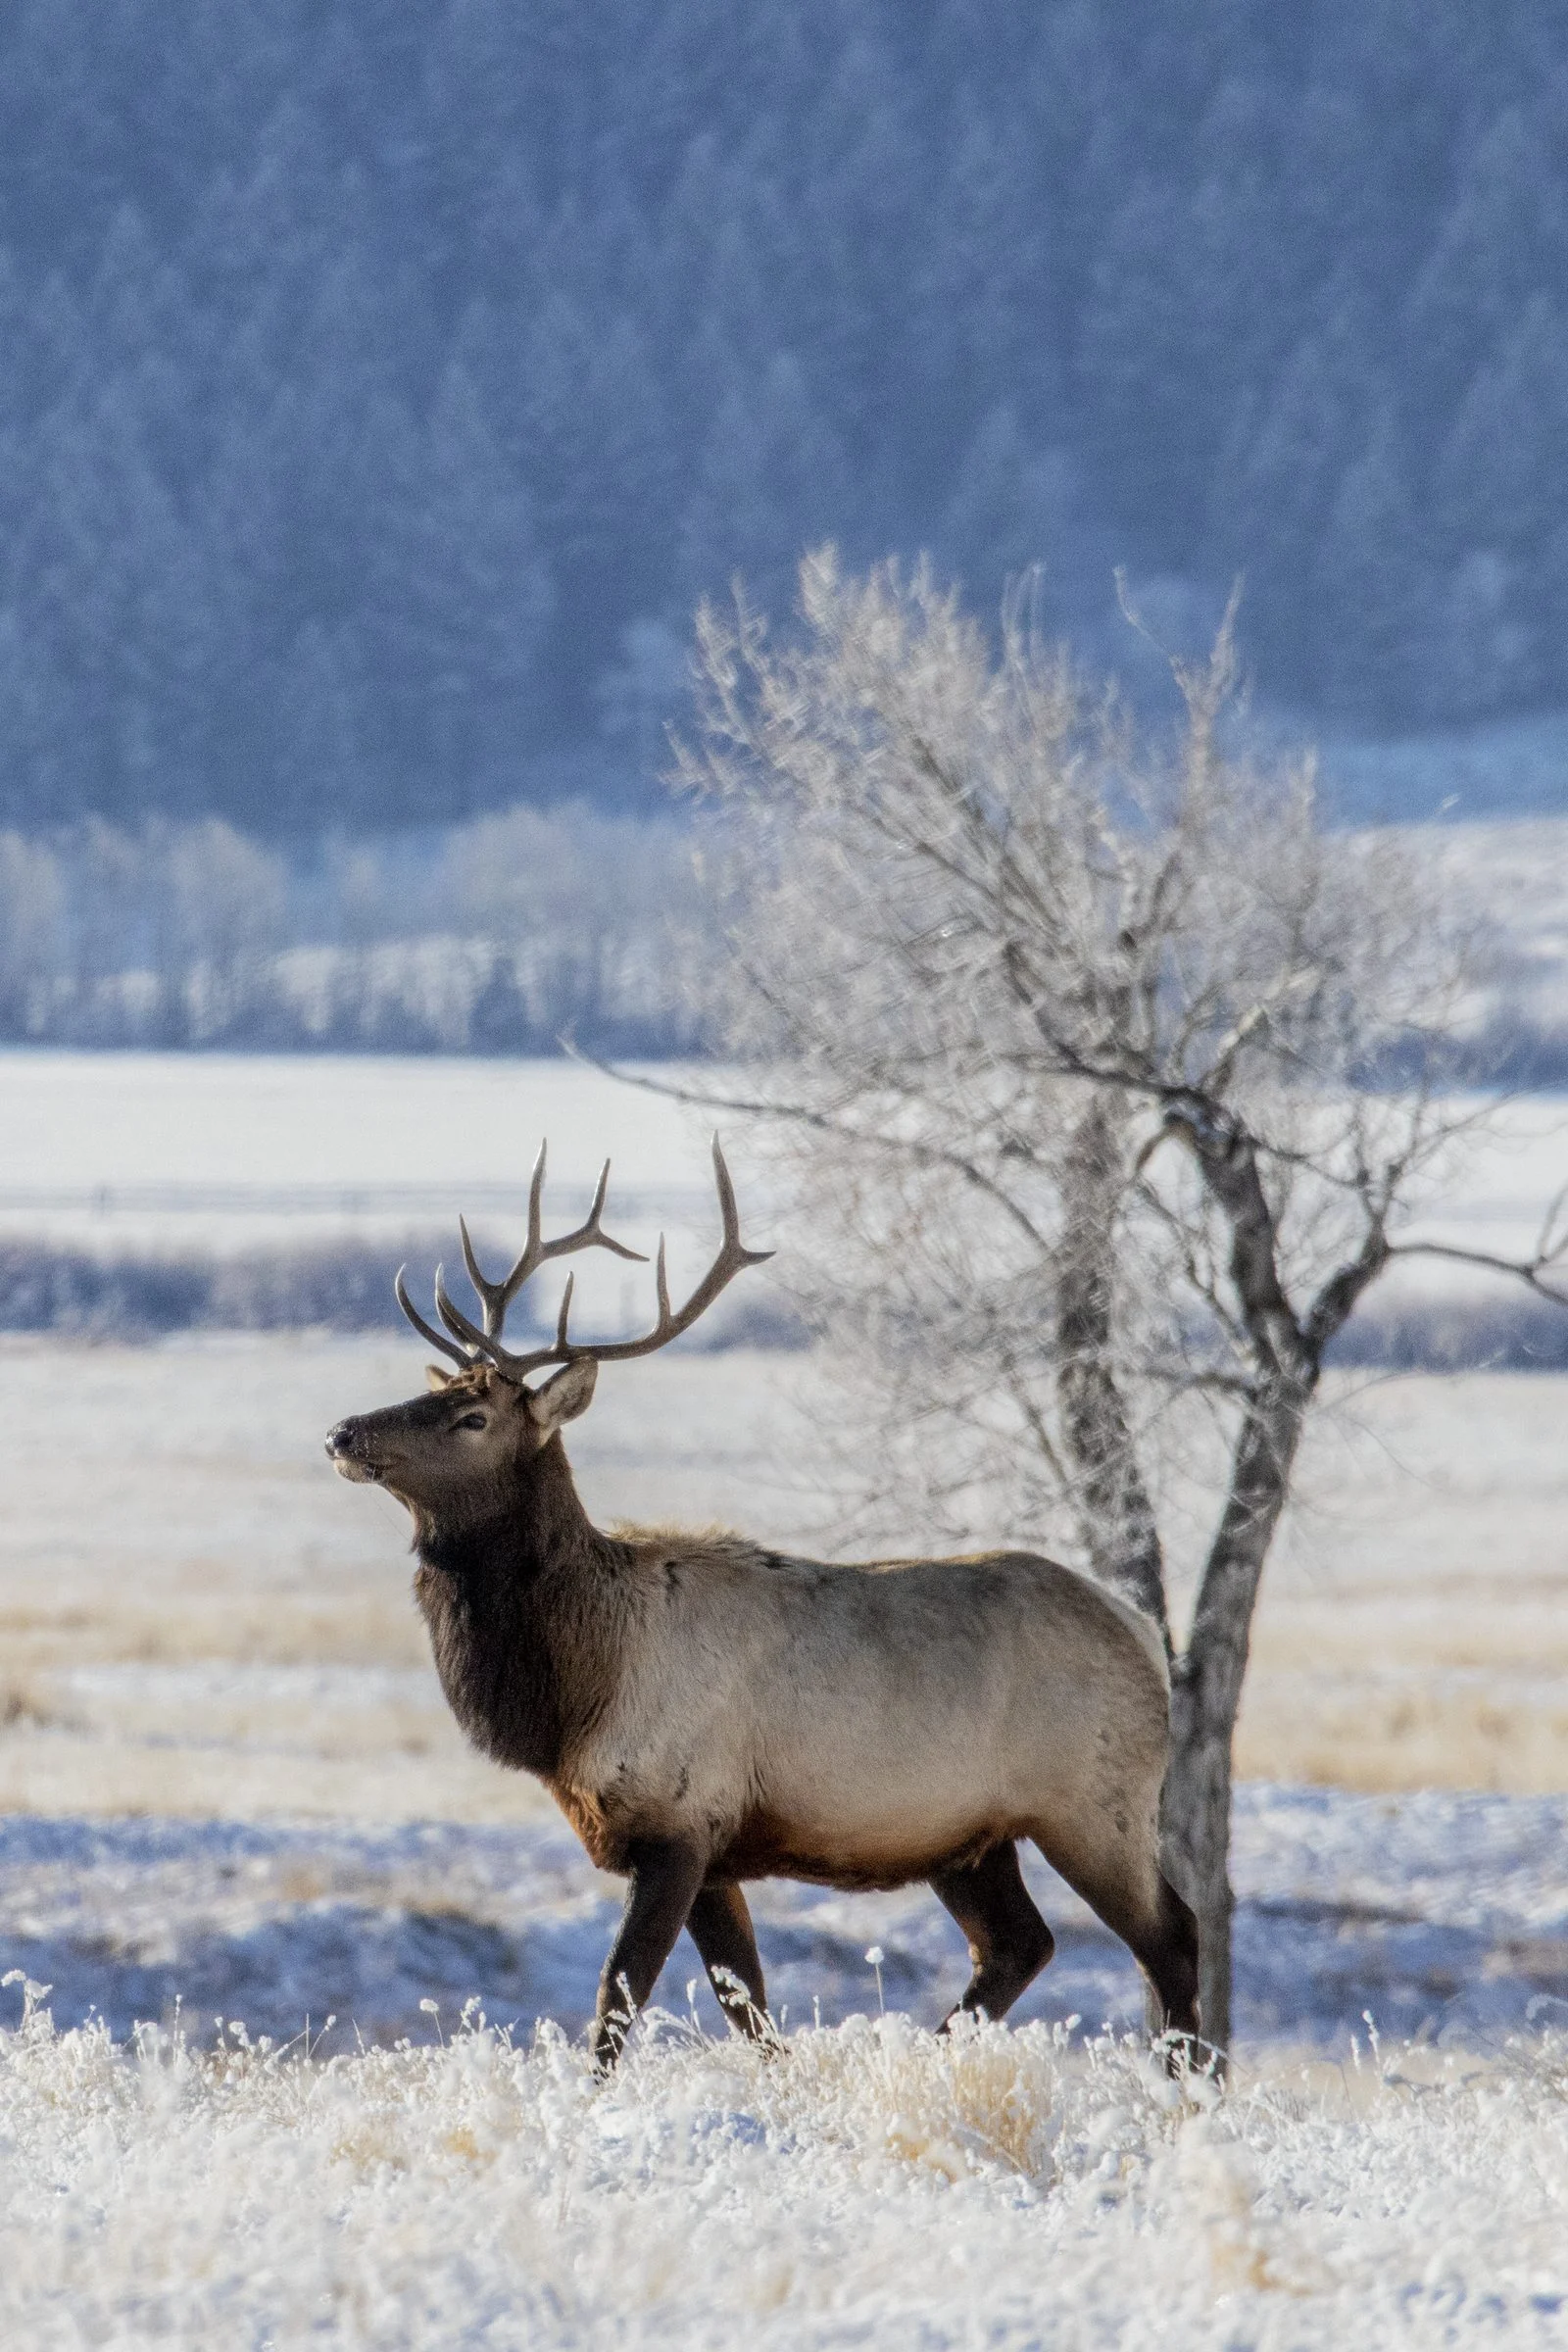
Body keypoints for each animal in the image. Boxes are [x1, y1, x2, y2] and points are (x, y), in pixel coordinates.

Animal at [326, 1140, 1200, 2069]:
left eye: (472, 1416)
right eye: (438, 1391)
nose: (343, 1434)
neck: (574, 1695)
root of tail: (1145, 1635)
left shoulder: (678, 1822)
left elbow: (619, 2000)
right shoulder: (711, 1853)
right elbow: (749, 2010)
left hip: (1096, 1803)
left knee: (1171, 1938)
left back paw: (1188, 2089)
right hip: (971, 1836)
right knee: (1018, 1944)